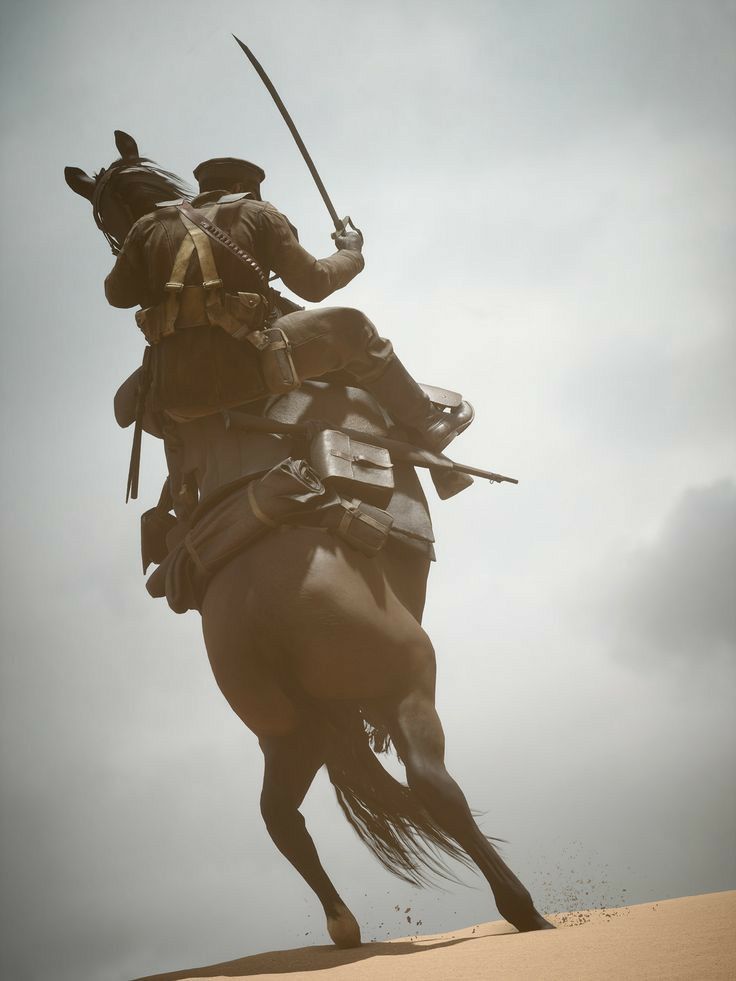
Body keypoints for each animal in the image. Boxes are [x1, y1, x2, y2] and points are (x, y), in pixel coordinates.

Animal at [67, 132, 552, 948]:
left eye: (109, 211)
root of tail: (266, 618)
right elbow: (320, 287)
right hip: (403, 680)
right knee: (433, 786)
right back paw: (522, 907)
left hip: (283, 730)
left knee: (278, 816)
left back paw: (343, 924)